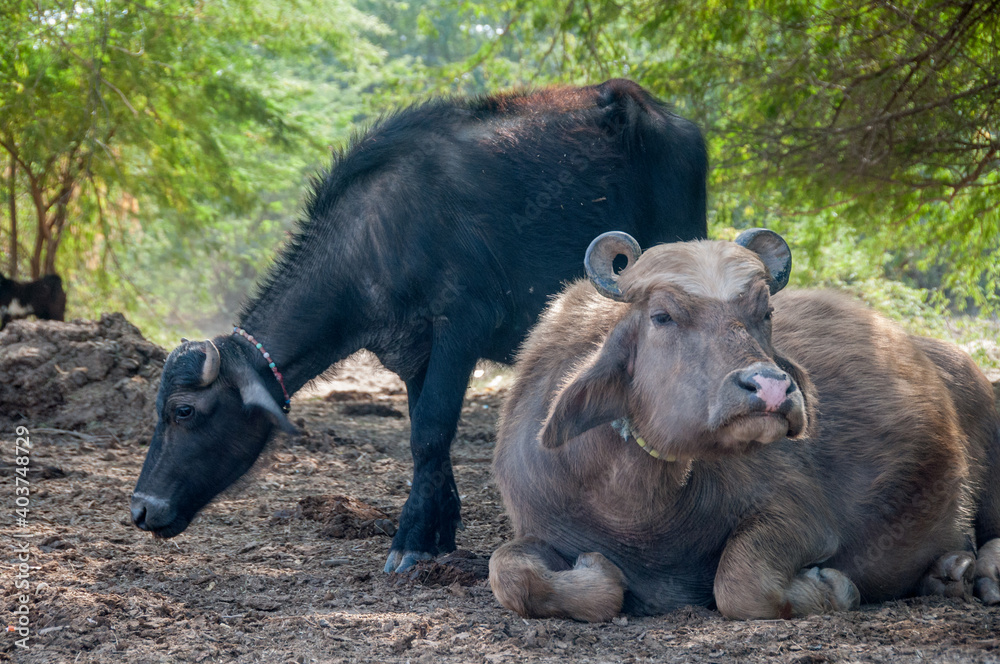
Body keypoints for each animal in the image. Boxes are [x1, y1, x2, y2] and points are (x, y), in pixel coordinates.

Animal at [129, 79, 709, 573]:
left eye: (184, 411)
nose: (141, 510)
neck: (377, 238)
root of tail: (661, 114)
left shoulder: (460, 328)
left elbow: (431, 429)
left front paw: (409, 542)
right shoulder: (414, 354)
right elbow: (424, 435)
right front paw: (439, 532)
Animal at [489, 229, 1000, 620]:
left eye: (765, 312)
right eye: (662, 316)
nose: (772, 388)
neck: (635, 509)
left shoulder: (803, 516)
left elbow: (740, 583)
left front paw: (833, 588)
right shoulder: (538, 525)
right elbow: (510, 573)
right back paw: (947, 573)